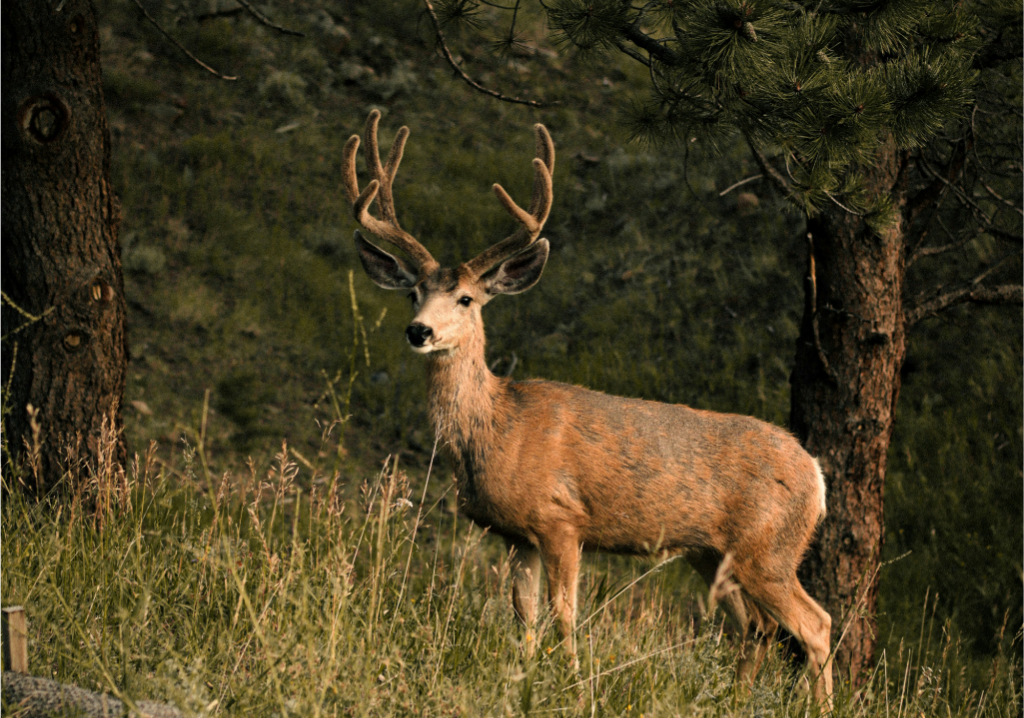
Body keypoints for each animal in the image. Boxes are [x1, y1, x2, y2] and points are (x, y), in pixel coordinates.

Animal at [342, 110, 833, 706]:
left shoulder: (562, 519)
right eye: (412, 292)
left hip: (770, 547)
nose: (419, 331)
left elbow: (564, 615)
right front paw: (523, 681)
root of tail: (816, 474)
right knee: (756, 628)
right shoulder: (516, 534)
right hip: (713, 553)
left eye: (466, 298)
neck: (496, 428)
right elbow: (524, 615)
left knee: (816, 625)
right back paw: (730, 702)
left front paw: (573, 688)